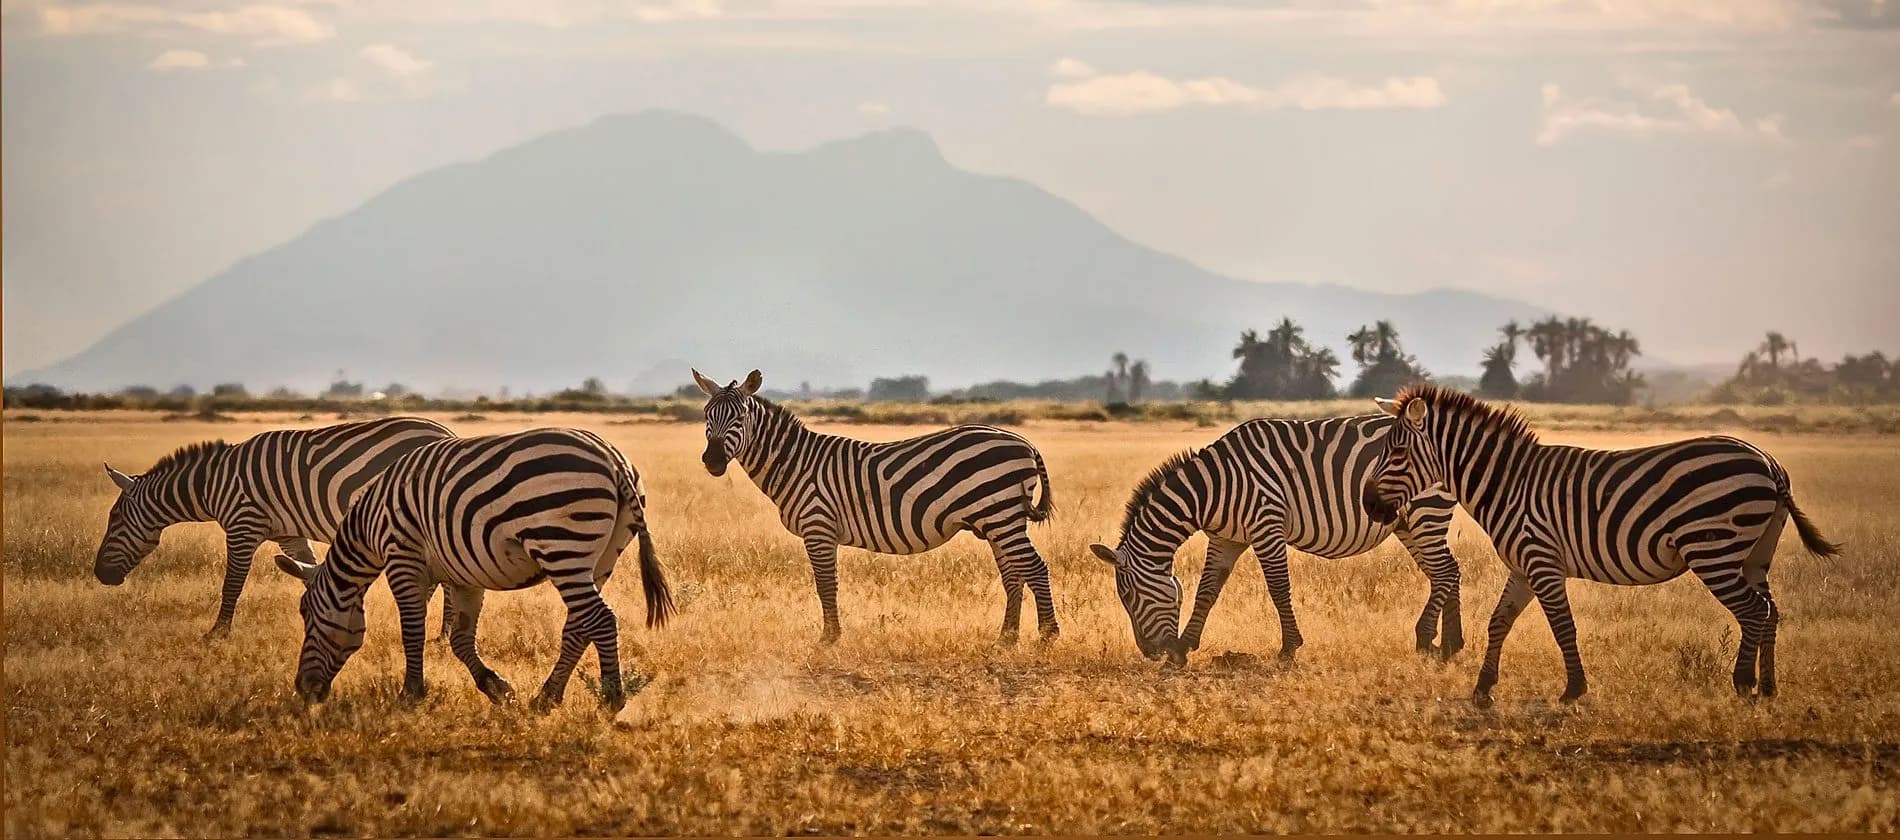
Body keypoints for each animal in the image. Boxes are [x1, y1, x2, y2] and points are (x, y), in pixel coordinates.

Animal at [95, 415, 454, 639]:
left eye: (115, 519)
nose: (100, 575)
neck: (211, 485)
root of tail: (446, 434)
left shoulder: (243, 525)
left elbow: (232, 583)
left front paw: (217, 633)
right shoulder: (289, 534)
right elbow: (306, 569)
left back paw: (441, 632)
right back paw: (441, 631)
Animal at [272, 427, 674, 712]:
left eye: (306, 614)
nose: (303, 690)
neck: (369, 527)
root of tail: (614, 461)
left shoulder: (402, 557)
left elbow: (412, 630)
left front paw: (410, 693)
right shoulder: (463, 575)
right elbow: (461, 639)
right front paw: (497, 689)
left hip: (561, 545)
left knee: (600, 619)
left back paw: (611, 699)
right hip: (601, 556)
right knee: (579, 625)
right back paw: (546, 698)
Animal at [693, 368, 1058, 644]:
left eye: (740, 417)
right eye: (707, 416)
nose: (712, 461)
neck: (796, 463)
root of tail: (1026, 442)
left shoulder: (818, 526)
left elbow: (825, 584)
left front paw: (829, 638)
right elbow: (827, 584)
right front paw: (832, 635)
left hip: (1000, 516)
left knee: (1035, 567)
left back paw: (1048, 635)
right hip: (999, 520)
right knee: (1014, 574)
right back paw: (1006, 637)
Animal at [1089, 416, 1463, 668]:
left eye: (1129, 597)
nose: (1150, 654)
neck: (1211, 488)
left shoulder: (1266, 525)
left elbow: (1278, 588)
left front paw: (1289, 649)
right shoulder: (1226, 538)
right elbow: (1207, 591)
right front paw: (1181, 650)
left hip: (1425, 510)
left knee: (1445, 571)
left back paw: (1426, 639)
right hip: (1408, 523)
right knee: (1447, 572)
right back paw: (1450, 644)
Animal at [1360, 384, 1841, 705]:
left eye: (1396, 453)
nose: (1368, 504)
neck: (1509, 483)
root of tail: (1770, 463)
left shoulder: (1542, 561)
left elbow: (1562, 626)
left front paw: (1573, 689)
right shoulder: (1523, 566)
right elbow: (1499, 622)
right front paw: (1482, 689)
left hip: (1714, 550)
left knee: (1753, 611)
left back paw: (1743, 684)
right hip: (1755, 555)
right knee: (1770, 610)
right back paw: (1769, 687)